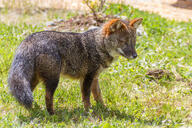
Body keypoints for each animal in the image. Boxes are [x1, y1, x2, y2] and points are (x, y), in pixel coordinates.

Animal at [7, 17, 142, 114]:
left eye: (133, 42)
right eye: (123, 42)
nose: (135, 56)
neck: (98, 45)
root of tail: (28, 40)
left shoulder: (94, 78)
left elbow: (98, 95)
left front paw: (103, 109)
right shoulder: (88, 77)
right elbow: (86, 97)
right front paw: (89, 112)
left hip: (34, 80)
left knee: (22, 96)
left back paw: (32, 110)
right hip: (53, 80)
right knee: (48, 97)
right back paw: (52, 114)